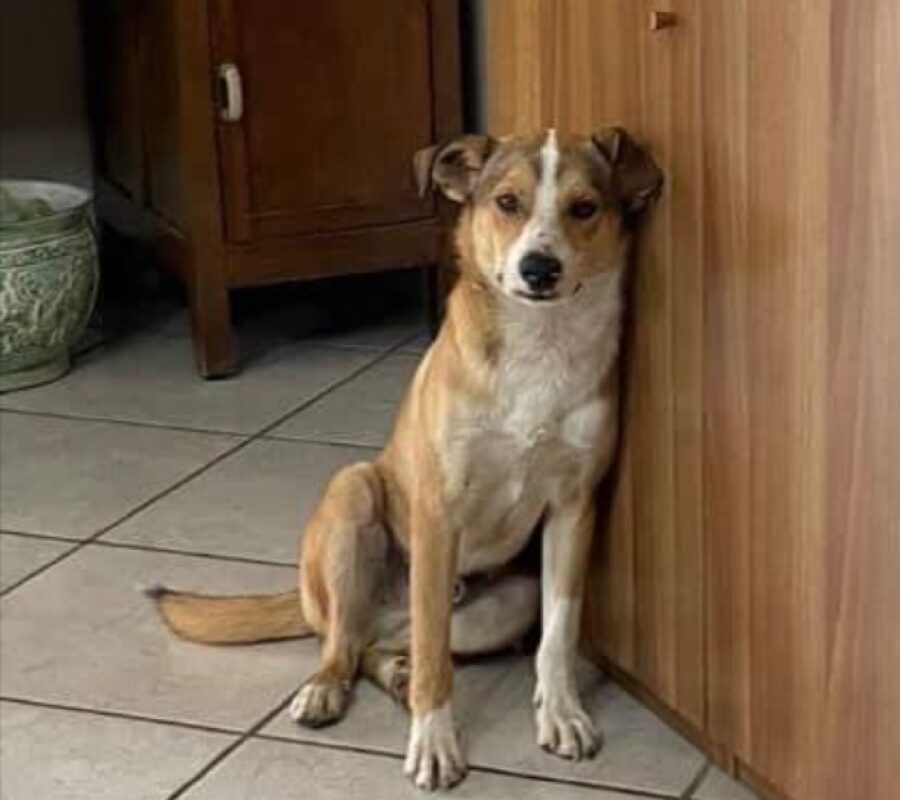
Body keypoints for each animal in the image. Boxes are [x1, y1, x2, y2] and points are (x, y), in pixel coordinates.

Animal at [151, 128, 660, 792]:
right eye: (507, 202)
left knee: (384, 645)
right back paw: (327, 689)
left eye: (584, 208)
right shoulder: (439, 514)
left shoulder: (573, 508)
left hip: (506, 603)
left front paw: (562, 714)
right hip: (353, 499)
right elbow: (435, 663)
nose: (539, 269)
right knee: (345, 642)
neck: (538, 343)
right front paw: (436, 743)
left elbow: (559, 632)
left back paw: (393, 674)